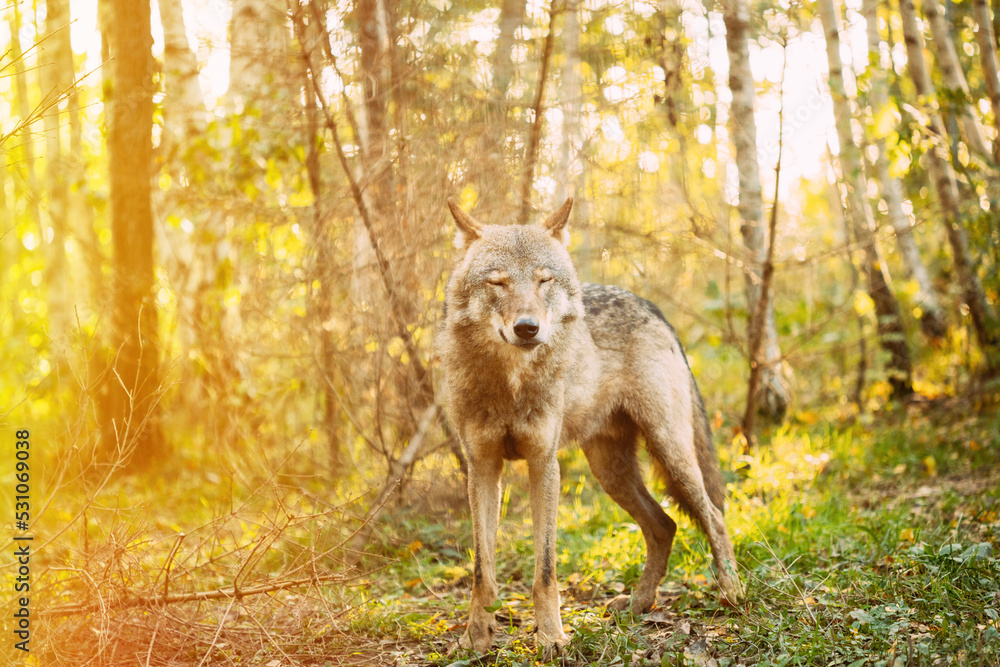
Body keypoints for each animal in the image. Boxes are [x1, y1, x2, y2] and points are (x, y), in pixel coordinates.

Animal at [436, 198, 743, 654]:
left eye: (544, 280)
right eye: (498, 283)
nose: (527, 327)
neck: (511, 384)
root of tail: (651, 306)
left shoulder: (544, 465)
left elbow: (545, 571)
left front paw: (551, 638)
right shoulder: (483, 469)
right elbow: (481, 572)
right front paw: (476, 640)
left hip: (670, 453)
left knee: (715, 517)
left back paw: (732, 592)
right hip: (611, 472)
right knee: (665, 525)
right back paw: (638, 604)